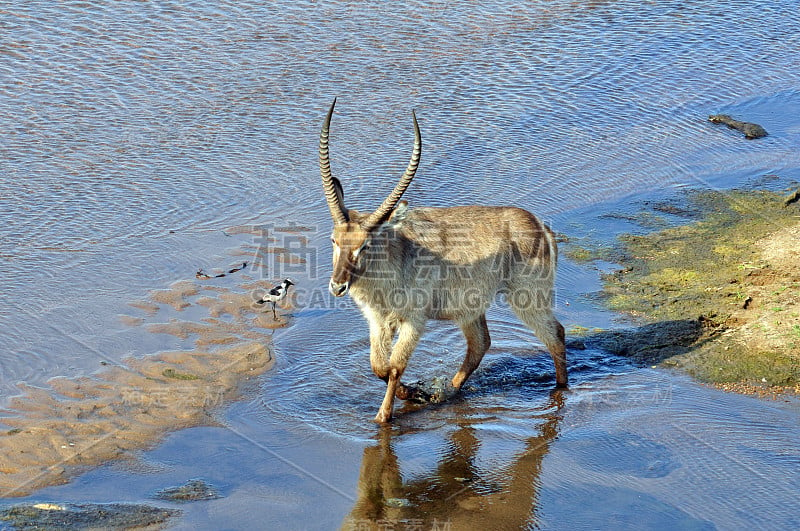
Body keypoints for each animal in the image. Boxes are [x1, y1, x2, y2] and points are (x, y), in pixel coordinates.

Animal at [320, 101, 568, 424]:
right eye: (334, 240)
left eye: (365, 245)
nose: (338, 286)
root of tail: (539, 224)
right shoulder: (377, 319)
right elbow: (379, 366)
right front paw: (413, 393)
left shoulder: (414, 320)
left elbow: (395, 366)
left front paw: (384, 416)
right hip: (470, 307)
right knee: (480, 343)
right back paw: (447, 391)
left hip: (528, 297)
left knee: (555, 335)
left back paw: (560, 389)